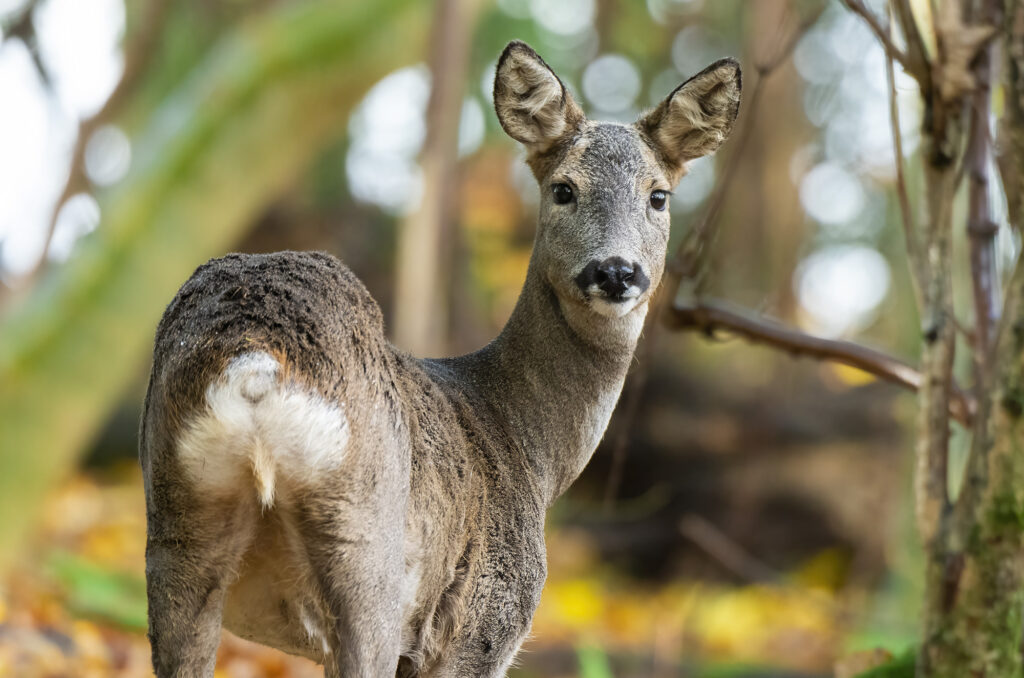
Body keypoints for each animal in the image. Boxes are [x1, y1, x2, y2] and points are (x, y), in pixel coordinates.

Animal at [140, 42, 741, 678]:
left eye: (658, 195)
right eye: (563, 189)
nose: (616, 272)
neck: (532, 449)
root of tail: (255, 363)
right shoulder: (481, 625)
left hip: (176, 533)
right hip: (369, 553)